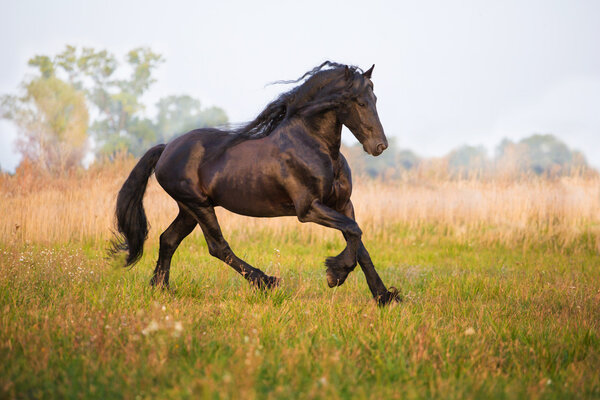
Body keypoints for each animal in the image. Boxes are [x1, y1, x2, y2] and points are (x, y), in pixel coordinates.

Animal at [115, 62, 400, 304]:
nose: (379, 146)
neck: (315, 147)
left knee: (168, 239)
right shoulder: (308, 208)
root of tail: (166, 148)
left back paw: (160, 288)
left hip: (188, 210)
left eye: (375, 99)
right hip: (198, 205)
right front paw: (335, 275)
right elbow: (354, 231)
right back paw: (266, 281)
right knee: (217, 247)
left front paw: (384, 296)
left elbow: (359, 243)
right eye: (360, 102)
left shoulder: (343, 204)